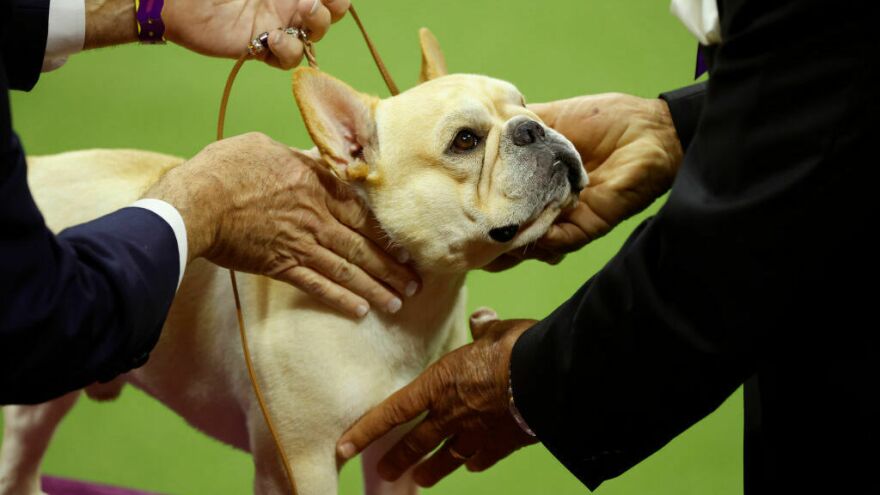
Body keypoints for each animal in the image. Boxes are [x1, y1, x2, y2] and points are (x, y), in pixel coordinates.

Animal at [1, 31, 592, 495]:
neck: (411, 308)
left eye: (525, 103)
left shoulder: (394, 456)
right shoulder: (299, 465)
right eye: (464, 141)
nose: (533, 128)